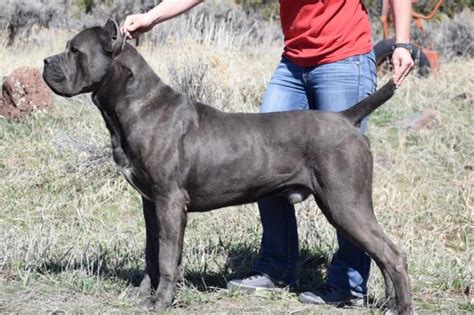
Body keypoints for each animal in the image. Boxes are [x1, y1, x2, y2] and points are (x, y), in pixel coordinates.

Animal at [42, 20, 412, 315]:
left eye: (73, 50)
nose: (45, 61)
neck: (134, 105)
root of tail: (346, 117)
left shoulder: (171, 202)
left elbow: (166, 257)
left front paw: (161, 301)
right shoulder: (150, 203)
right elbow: (151, 252)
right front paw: (143, 295)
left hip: (345, 202)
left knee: (392, 254)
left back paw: (401, 307)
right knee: (382, 255)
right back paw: (390, 305)